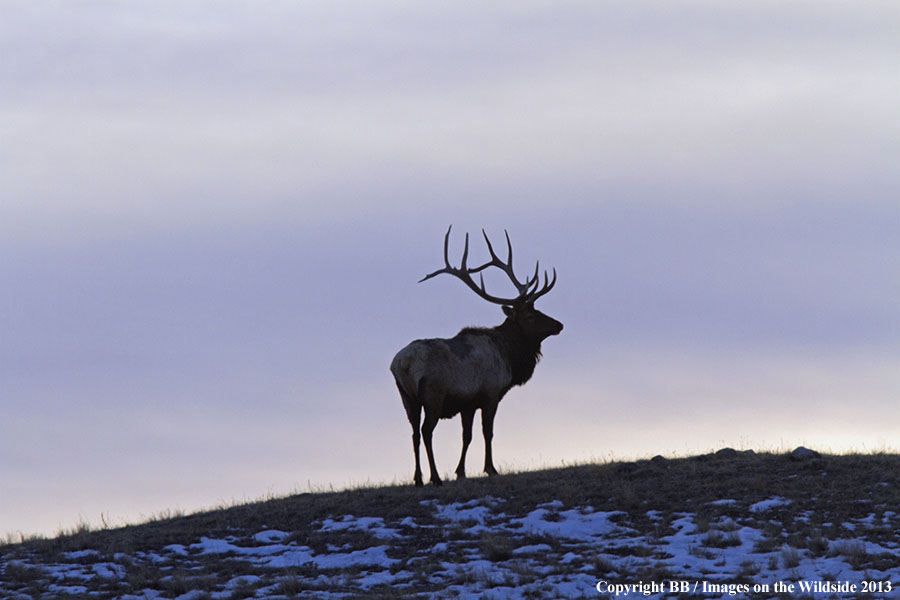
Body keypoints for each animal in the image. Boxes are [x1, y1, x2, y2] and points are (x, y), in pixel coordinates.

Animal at [388, 226, 564, 488]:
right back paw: (435, 477)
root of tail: (402, 364)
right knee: (426, 431)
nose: (559, 325)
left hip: (406, 397)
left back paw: (418, 479)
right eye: (531, 316)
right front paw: (490, 468)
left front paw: (460, 471)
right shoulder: (490, 393)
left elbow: (467, 436)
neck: (509, 357)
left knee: (414, 433)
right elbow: (487, 432)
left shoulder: (467, 403)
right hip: (433, 393)